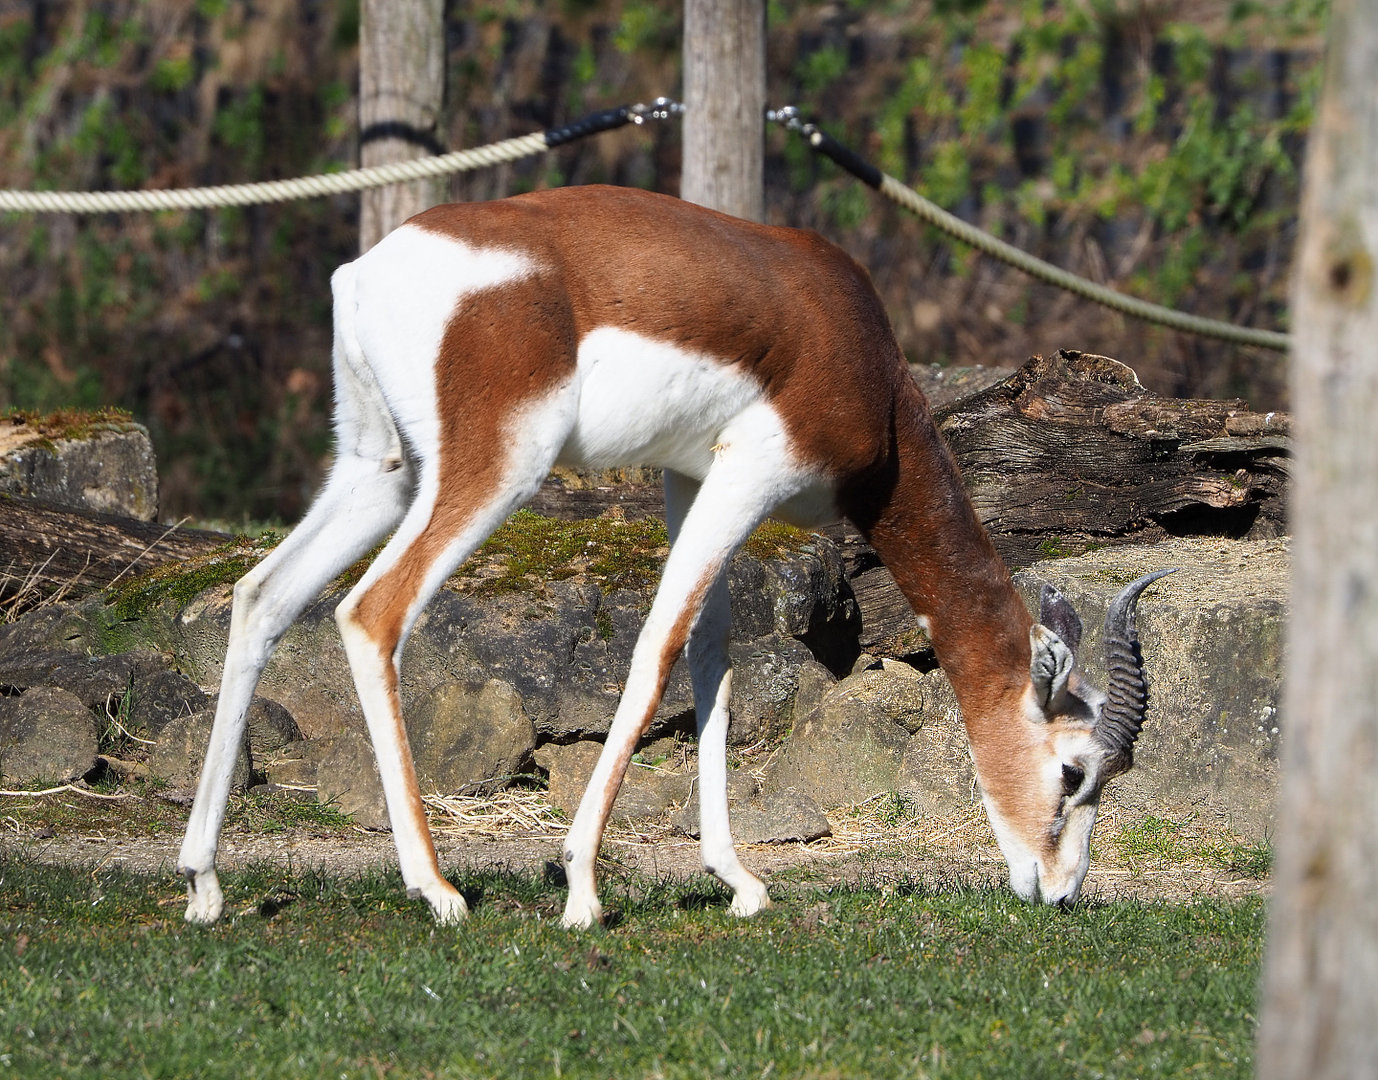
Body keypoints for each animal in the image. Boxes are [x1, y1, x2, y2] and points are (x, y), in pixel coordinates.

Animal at [177, 184, 1170, 929]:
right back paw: (438, 889)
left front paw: (740, 882)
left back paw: (204, 882)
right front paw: (581, 886)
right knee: (372, 611)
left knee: (261, 595)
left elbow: (712, 659)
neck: (862, 361)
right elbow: (658, 649)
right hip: (496, 467)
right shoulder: (752, 474)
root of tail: (365, 272)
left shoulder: (691, 477)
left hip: (378, 468)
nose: (1061, 892)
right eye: (1074, 772)